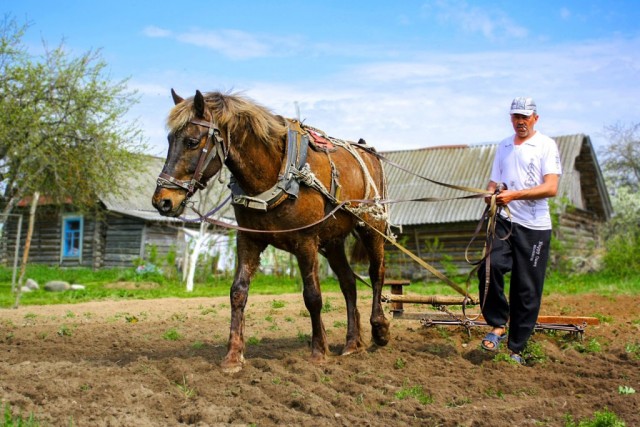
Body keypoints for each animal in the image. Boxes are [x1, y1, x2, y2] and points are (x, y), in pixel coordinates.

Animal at [153, 90, 392, 374]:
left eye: (191, 141)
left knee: (376, 274)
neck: (274, 174)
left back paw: (379, 329)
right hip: (332, 241)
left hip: (372, 228)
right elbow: (238, 292)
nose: (162, 201)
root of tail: (368, 152)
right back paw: (353, 343)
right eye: (170, 139)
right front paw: (233, 356)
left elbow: (312, 296)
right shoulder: (248, 239)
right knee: (348, 283)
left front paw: (318, 352)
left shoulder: (306, 242)